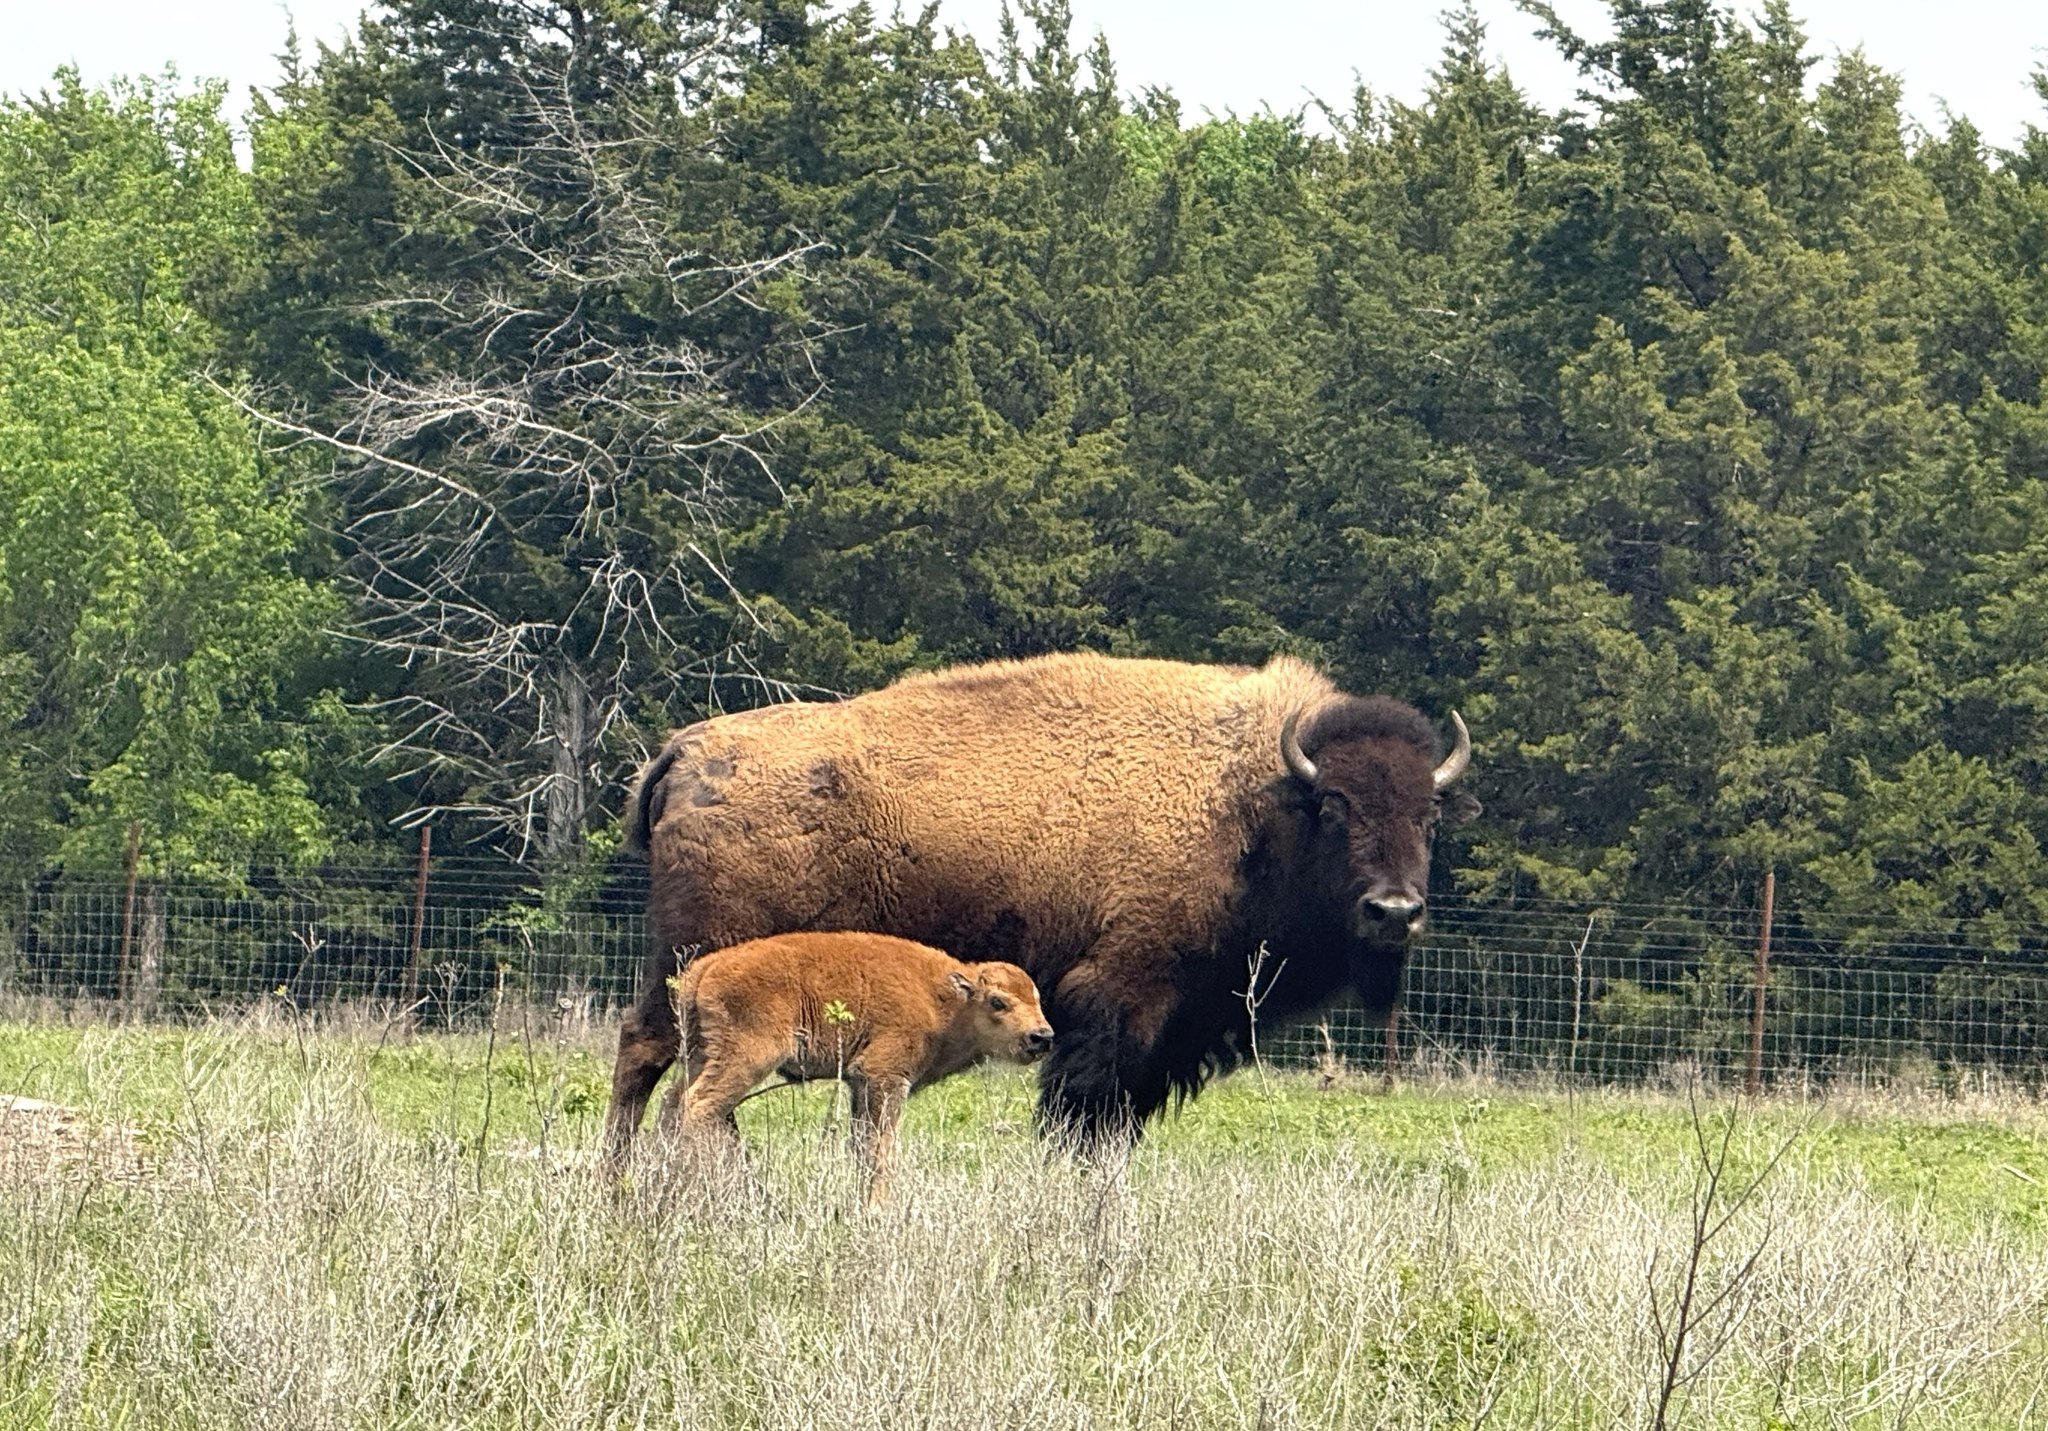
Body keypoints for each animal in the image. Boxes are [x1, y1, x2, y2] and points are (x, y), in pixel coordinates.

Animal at [606, 651, 1476, 1162]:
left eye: (1429, 817)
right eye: (1333, 806)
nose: (1394, 911)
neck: (1246, 804)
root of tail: (686, 748)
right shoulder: (1117, 1005)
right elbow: (1080, 1115)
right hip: (700, 963)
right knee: (654, 1059)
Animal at [662, 931, 1054, 1205]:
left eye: (1036, 999)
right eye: (998, 1002)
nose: (1041, 1036)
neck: (947, 1000)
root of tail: (704, 970)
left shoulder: (860, 1085)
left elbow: (863, 1145)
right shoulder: (886, 1077)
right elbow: (881, 1148)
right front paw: (879, 1208)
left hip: (701, 1054)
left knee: (673, 1103)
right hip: (745, 1057)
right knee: (699, 1106)